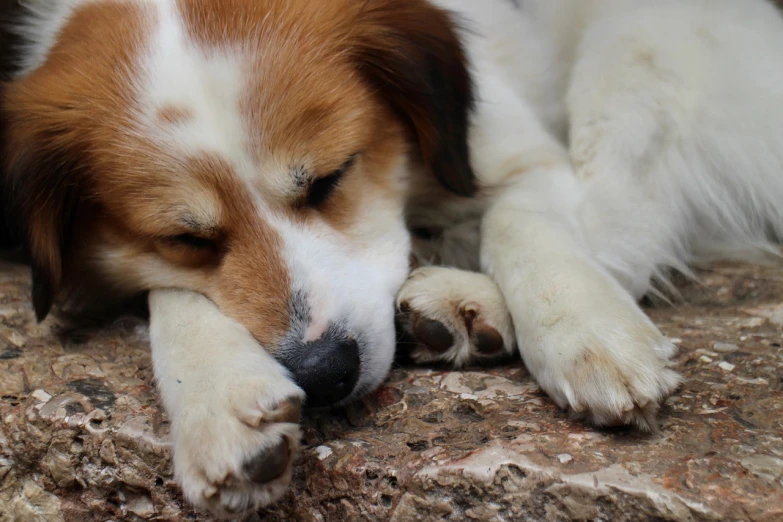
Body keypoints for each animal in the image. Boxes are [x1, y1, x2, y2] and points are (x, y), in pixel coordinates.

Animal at [4, 0, 783, 512]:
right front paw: (215, 397)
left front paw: (584, 328)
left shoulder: (519, 154)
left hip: (635, 46)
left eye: (330, 178)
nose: (324, 374)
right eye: (188, 239)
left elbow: (521, 222)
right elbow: (168, 292)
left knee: (625, 224)